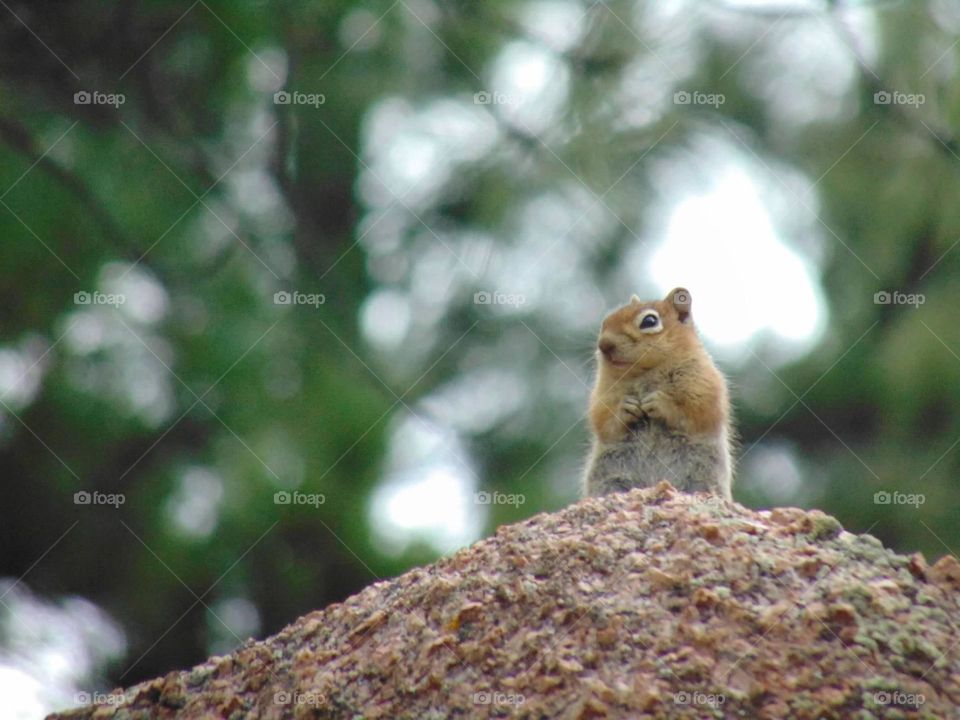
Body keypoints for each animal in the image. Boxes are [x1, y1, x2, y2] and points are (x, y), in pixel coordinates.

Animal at [580, 286, 732, 500]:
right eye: (606, 320)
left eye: (649, 321)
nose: (604, 345)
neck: (643, 372)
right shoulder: (603, 394)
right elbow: (603, 418)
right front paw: (626, 408)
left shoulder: (703, 384)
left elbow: (696, 409)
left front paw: (659, 402)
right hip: (609, 479)